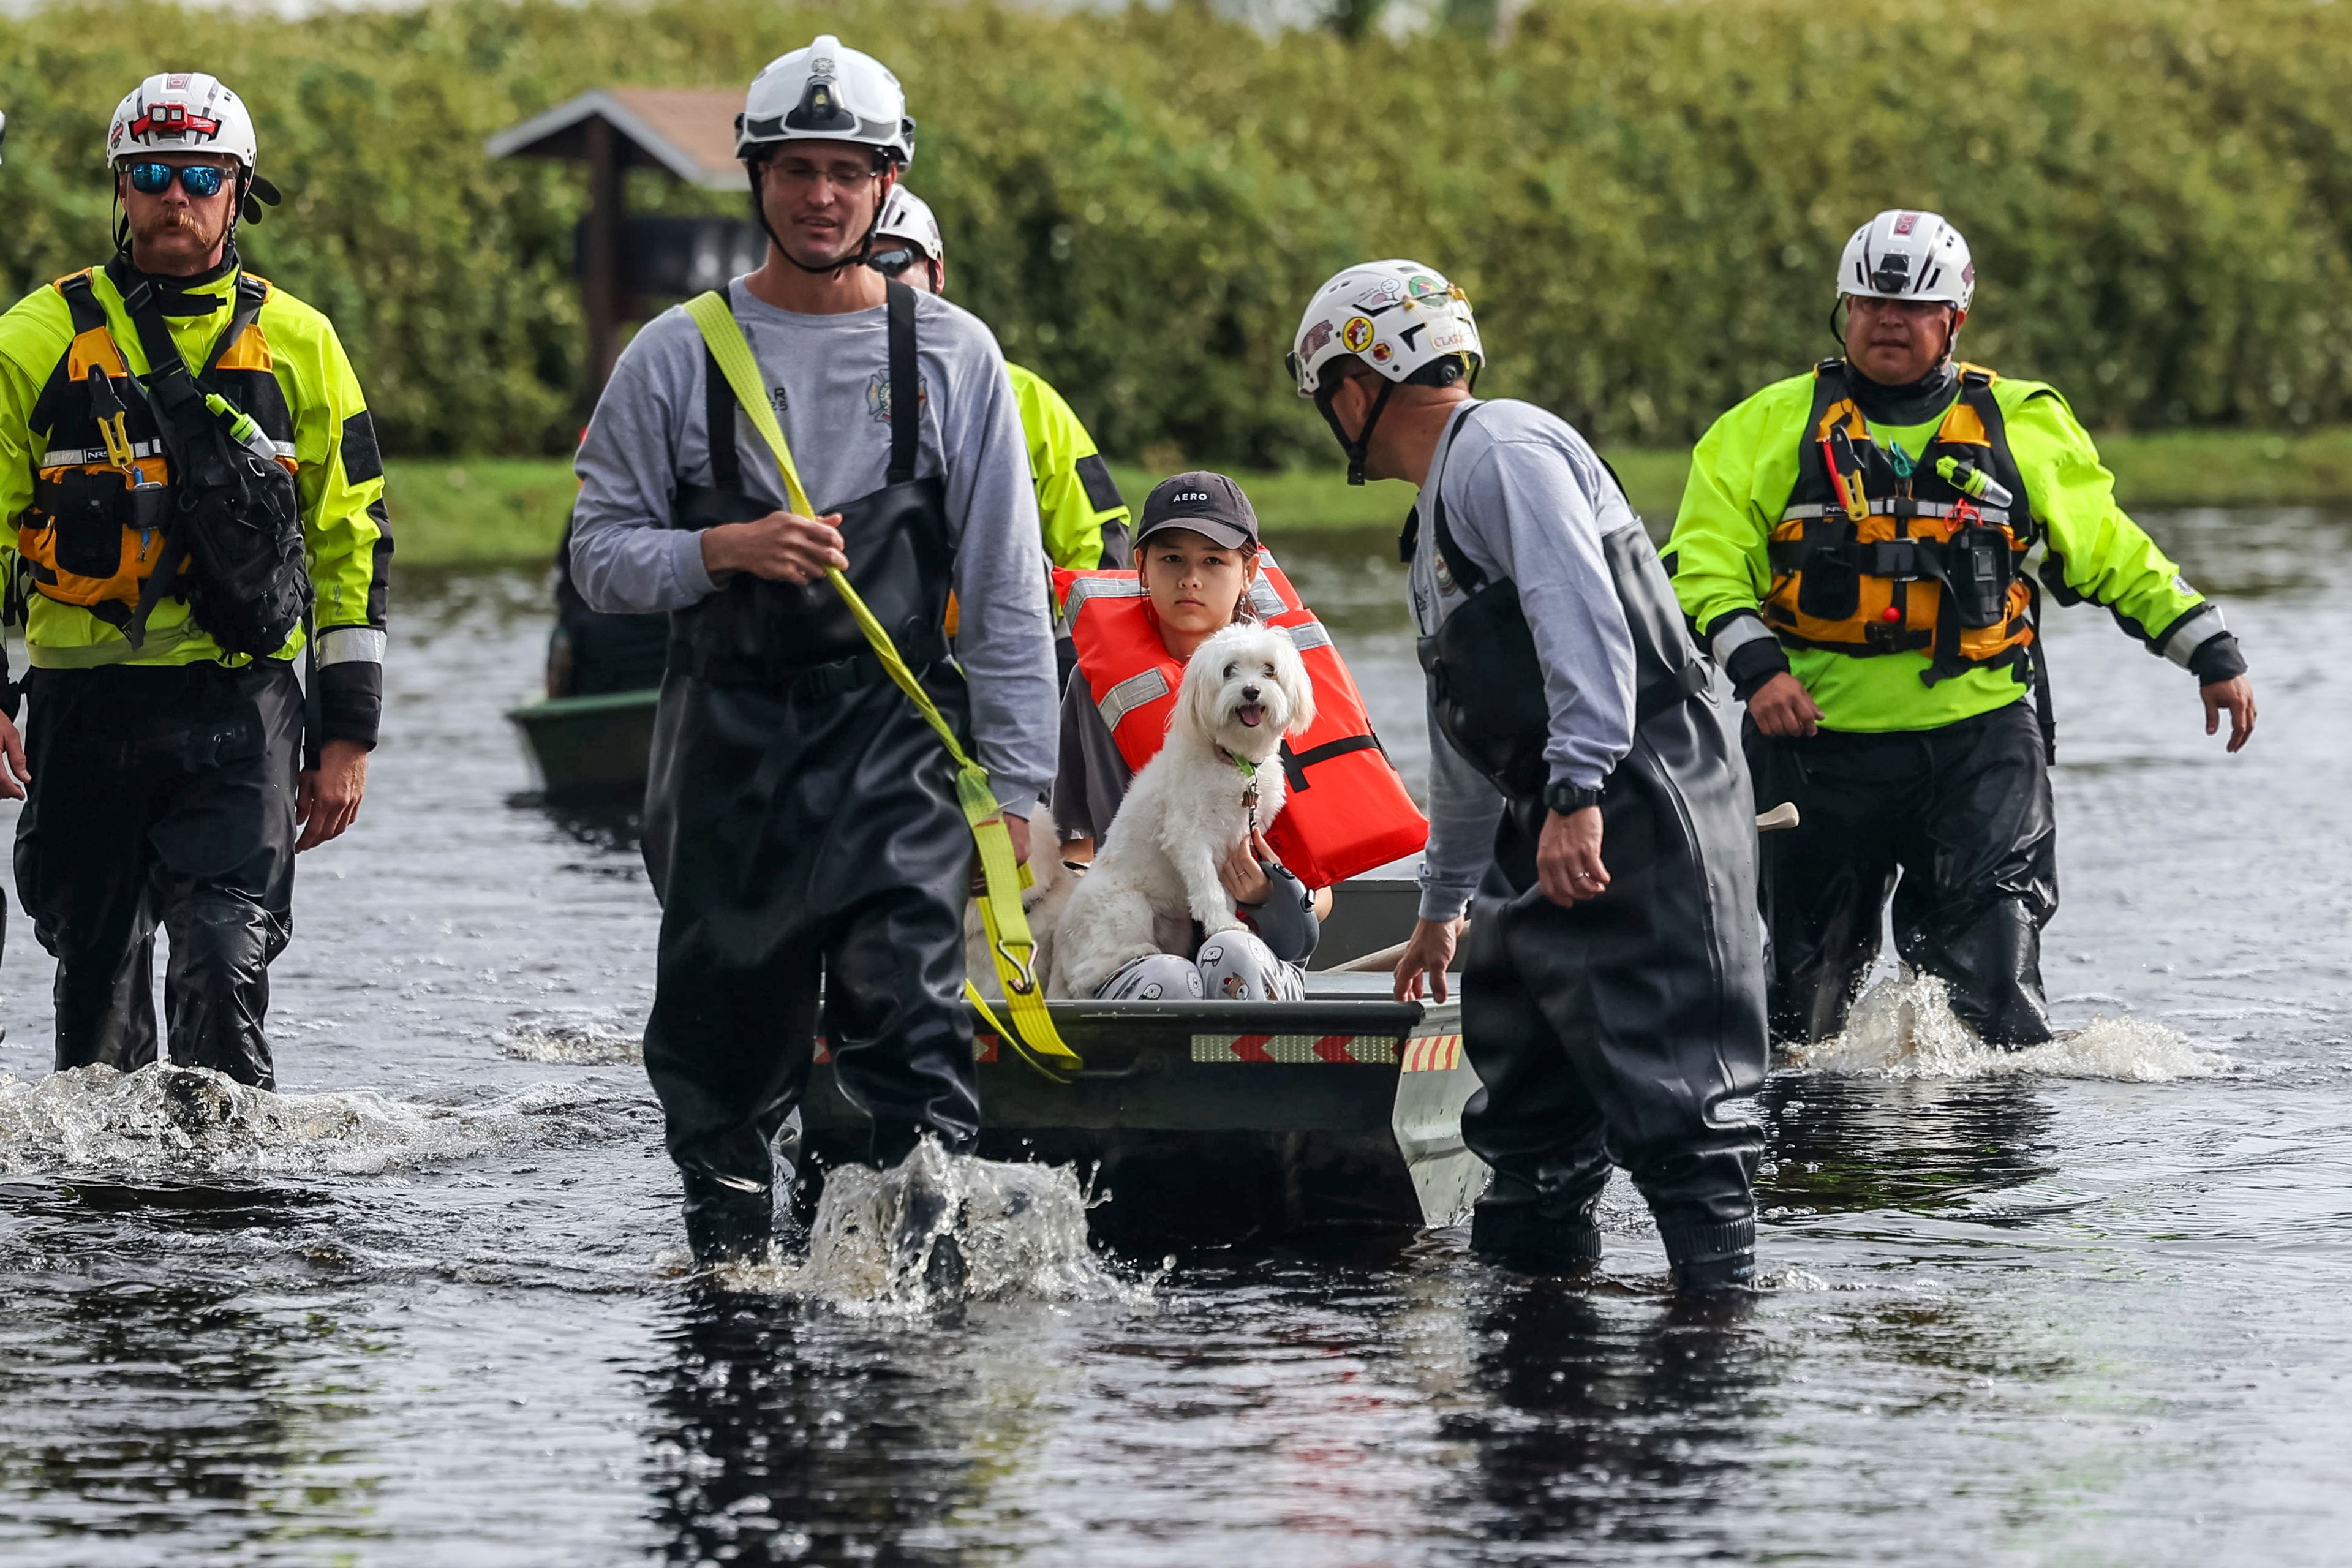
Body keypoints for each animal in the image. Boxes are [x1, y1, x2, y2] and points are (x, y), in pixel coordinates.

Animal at [1054, 620, 1326, 1001]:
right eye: (1229, 670)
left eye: (1270, 670)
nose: (1252, 691)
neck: (1234, 763)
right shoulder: (1189, 836)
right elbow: (1207, 884)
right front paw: (1224, 922)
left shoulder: (1236, 841)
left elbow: (1226, 889)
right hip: (1126, 906)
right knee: (1085, 975)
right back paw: (1136, 951)